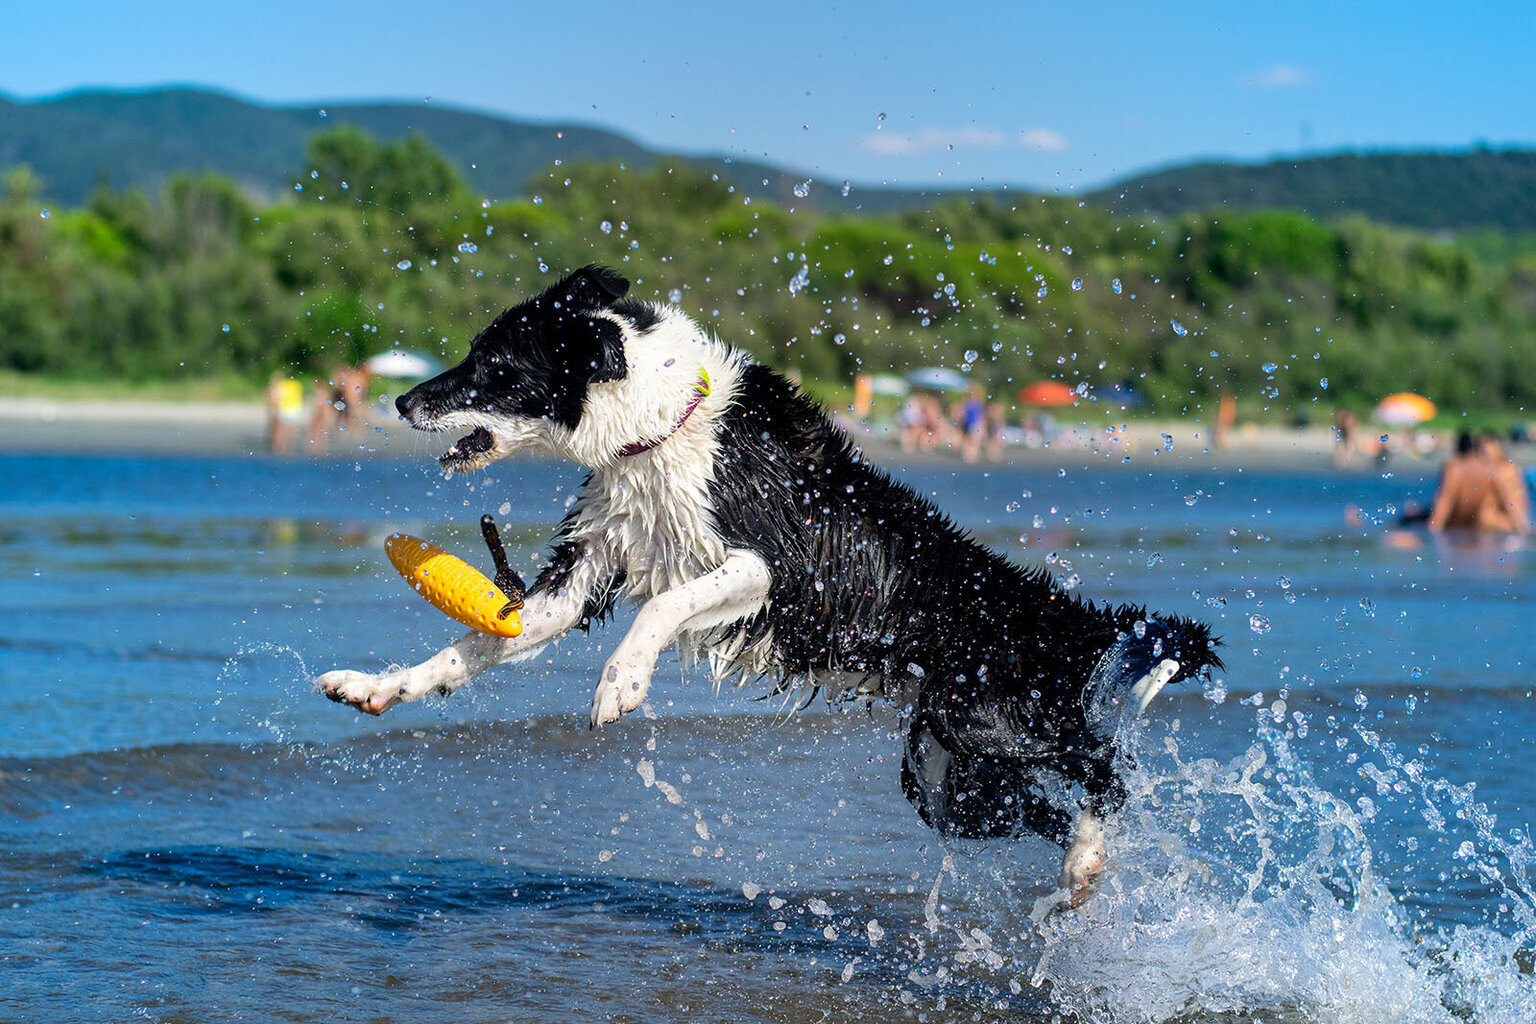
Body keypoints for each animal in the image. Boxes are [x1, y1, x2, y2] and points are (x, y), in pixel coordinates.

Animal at [317, 267, 1216, 902]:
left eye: (494, 365)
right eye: (471, 353)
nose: (401, 400)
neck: (656, 430)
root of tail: (1054, 614)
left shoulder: (771, 565)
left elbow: (668, 601)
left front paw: (623, 680)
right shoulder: (583, 573)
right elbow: (466, 648)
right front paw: (374, 686)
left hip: (993, 719)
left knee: (1106, 767)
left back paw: (1093, 850)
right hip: (947, 778)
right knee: (1044, 807)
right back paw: (1081, 873)